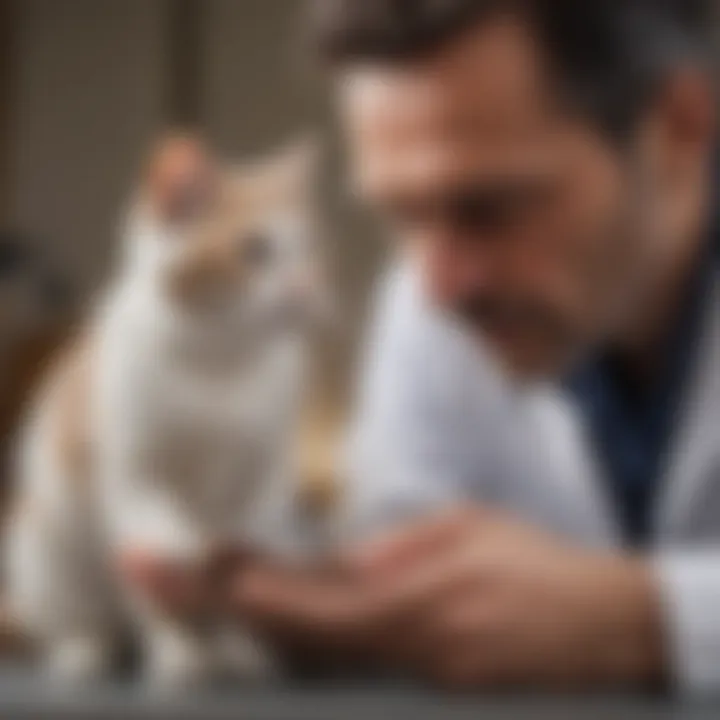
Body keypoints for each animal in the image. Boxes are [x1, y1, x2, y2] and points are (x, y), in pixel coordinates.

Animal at [4, 134, 332, 688]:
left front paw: (234, 645)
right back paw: (86, 650)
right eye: (255, 250)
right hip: (44, 550)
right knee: (79, 620)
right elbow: (153, 547)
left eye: (309, 250)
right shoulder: (128, 473)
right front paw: (178, 649)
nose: (305, 291)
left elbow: (232, 555)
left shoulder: (259, 474)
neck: (221, 360)